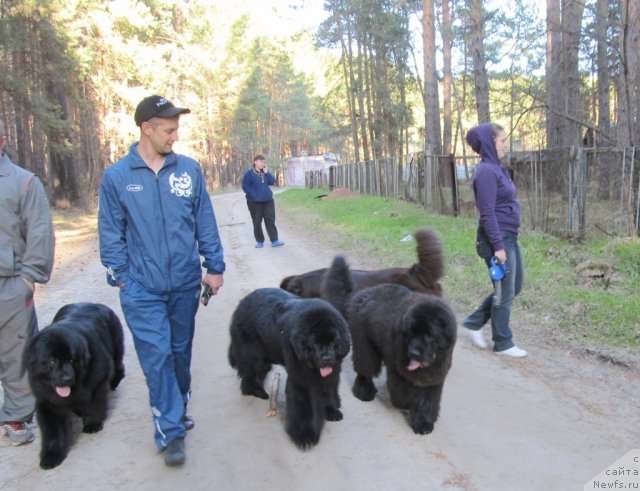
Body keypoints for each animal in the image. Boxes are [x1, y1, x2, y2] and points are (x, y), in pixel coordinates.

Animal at [23, 304, 124, 468]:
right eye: (52, 361)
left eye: (71, 359)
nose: (67, 378)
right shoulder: (47, 399)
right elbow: (52, 429)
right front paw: (51, 456)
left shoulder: (97, 380)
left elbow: (93, 404)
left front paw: (92, 424)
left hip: (116, 348)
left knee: (118, 366)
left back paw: (114, 381)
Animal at [228, 288, 350, 450]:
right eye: (315, 344)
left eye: (332, 343)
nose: (327, 359)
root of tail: (242, 302)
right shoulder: (301, 380)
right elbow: (304, 406)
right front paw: (305, 437)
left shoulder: (332, 374)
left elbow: (328, 391)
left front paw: (331, 411)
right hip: (254, 354)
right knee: (250, 372)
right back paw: (255, 391)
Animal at [324, 258, 456, 434]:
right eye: (410, 334)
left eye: (429, 335)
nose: (413, 353)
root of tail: (359, 296)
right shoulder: (397, 369)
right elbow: (401, 394)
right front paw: (407, 404)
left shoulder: (435, 376)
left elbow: (428, 401)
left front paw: (424, 422)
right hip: (365, 346)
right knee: (365, 370)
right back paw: (364, 391)